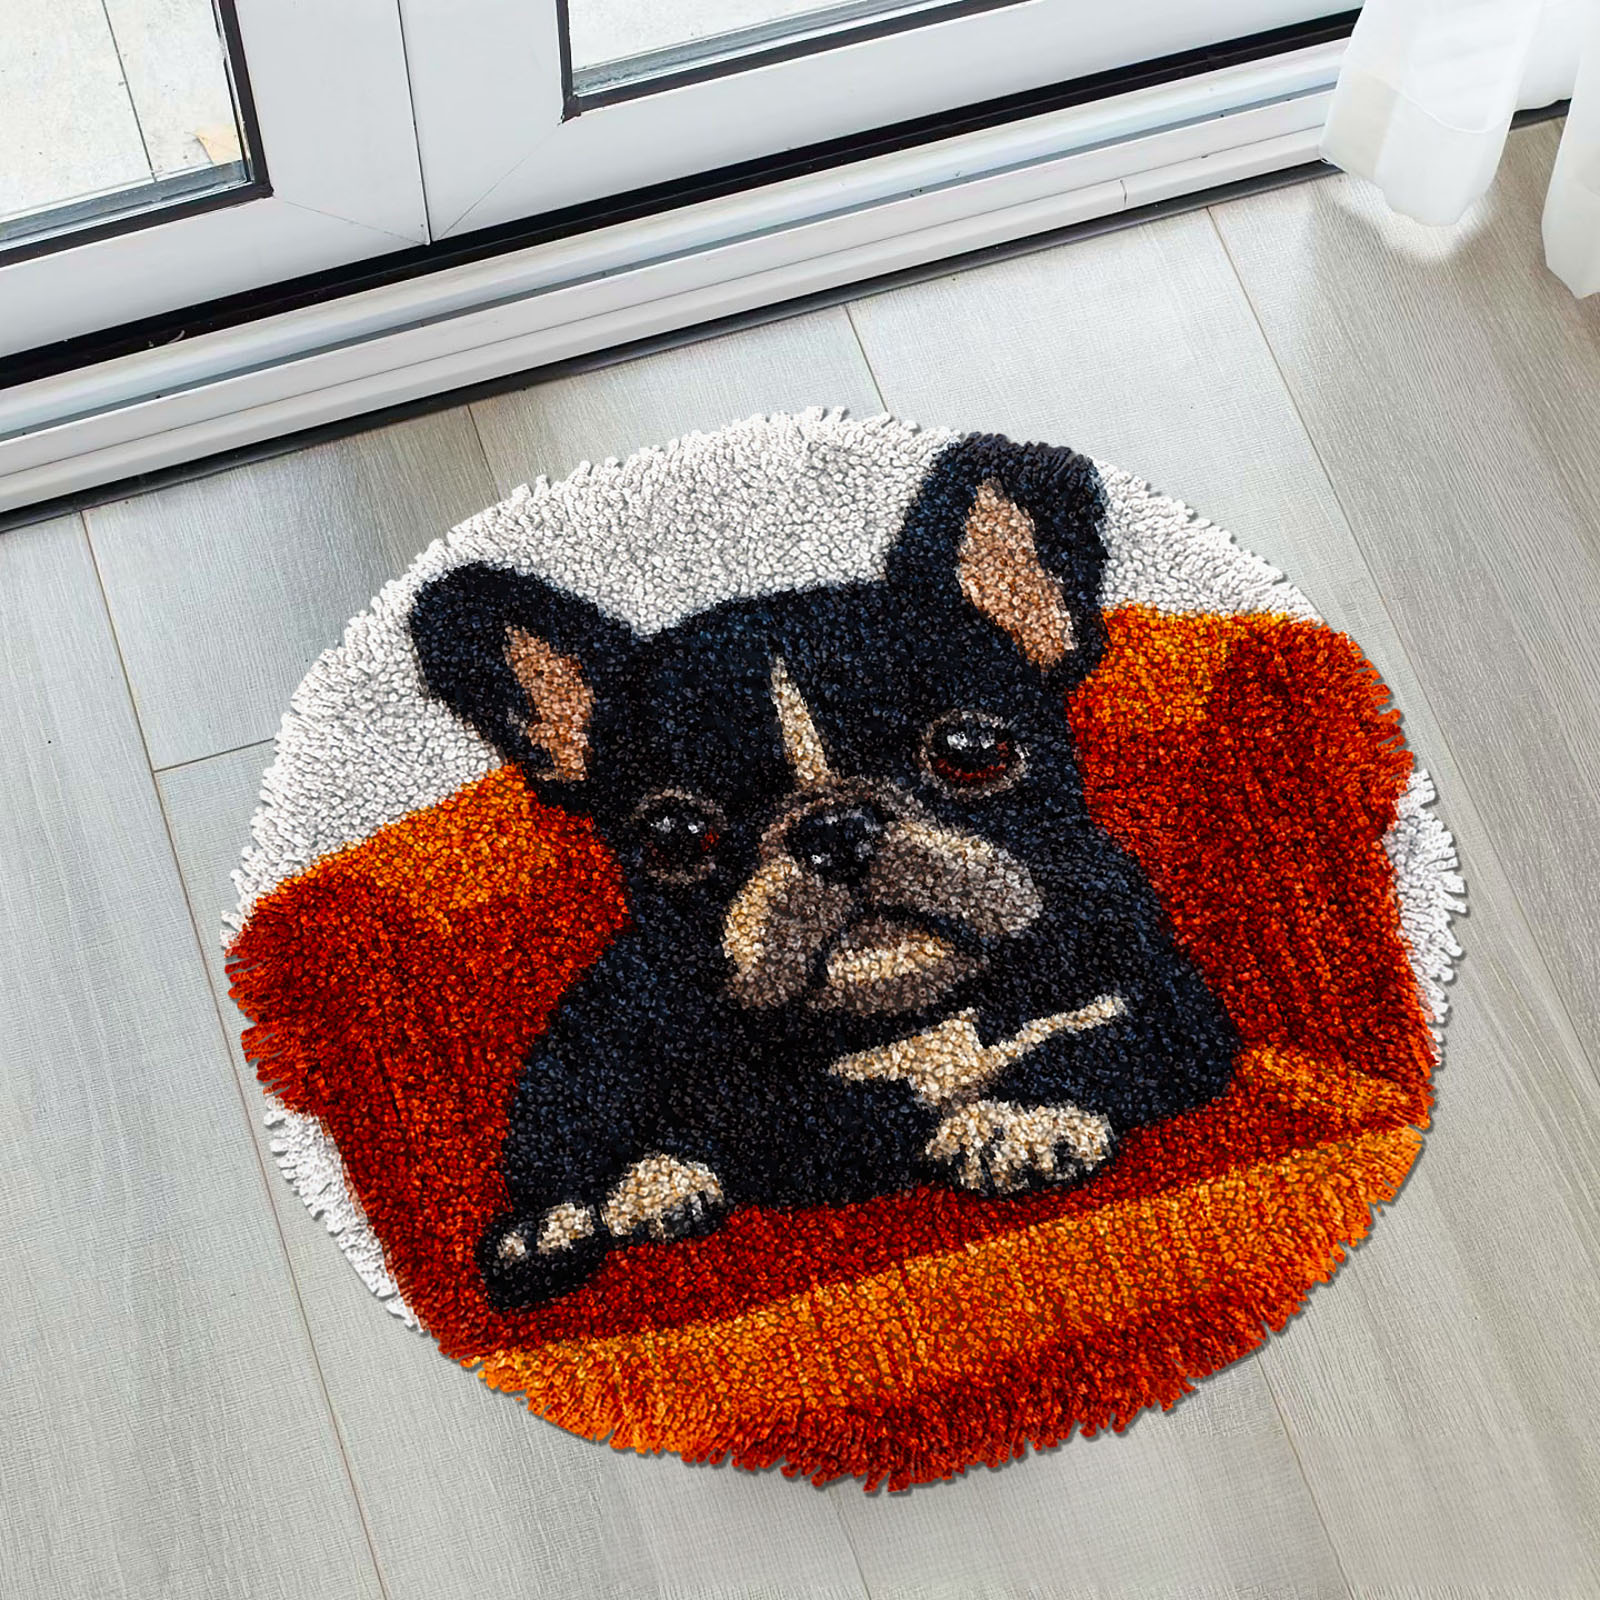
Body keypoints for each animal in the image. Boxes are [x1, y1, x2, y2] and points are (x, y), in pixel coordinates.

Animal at [410, 434, 1239, 1309]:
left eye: (972, 748)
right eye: (674, 834)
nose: (834, 829)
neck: (920, 1012)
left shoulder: (1172, 1010)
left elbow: (1091, 1043)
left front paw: (1021, 1117)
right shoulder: (777, 1113)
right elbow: (843, 1110)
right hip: (580, 1049)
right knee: (563, 1143)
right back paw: (573, 1219)